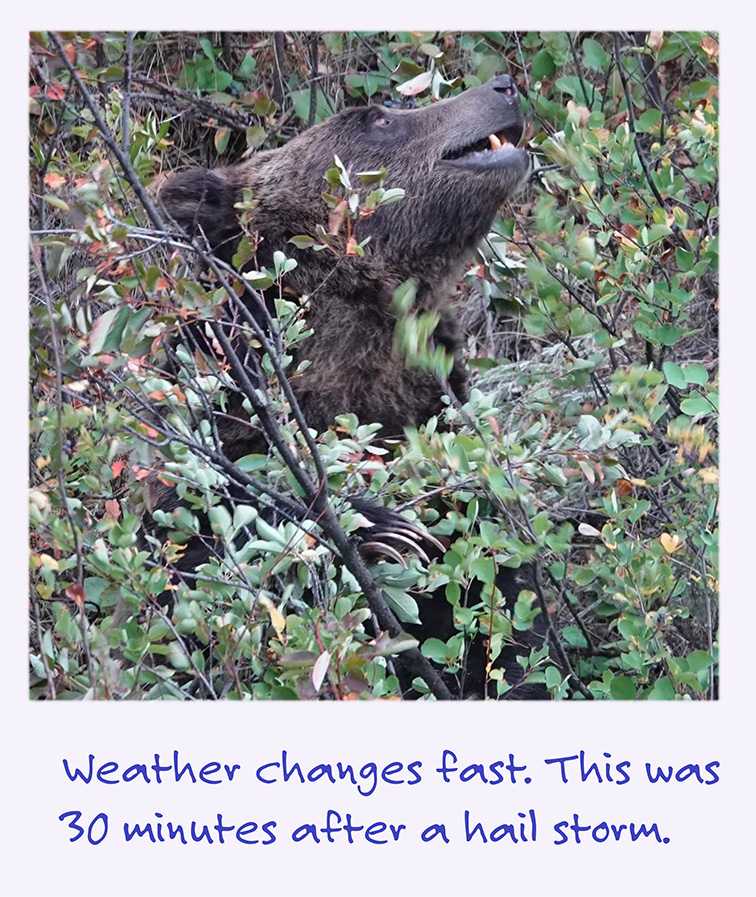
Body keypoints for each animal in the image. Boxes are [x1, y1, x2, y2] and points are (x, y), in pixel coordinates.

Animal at [153, 73, 548, 699]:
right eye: (377, 118)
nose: (504, 84)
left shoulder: (442, 421)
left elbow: (501, 611)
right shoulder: (221, 414)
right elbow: (202, 535)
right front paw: (387, 530)